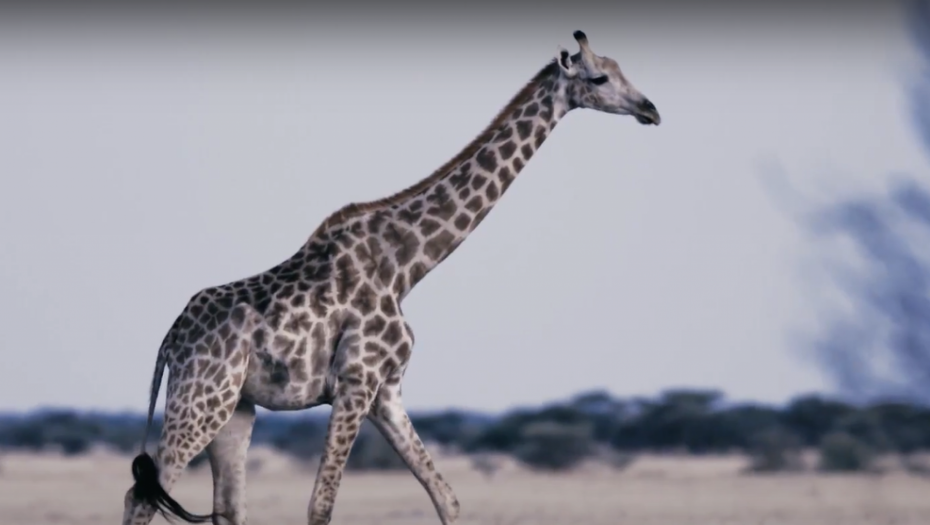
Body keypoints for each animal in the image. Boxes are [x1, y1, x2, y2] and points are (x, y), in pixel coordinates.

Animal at [123, 29, 660, 524]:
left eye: (619, 69)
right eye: (599, 77)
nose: (650, 110)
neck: (407, 266)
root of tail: (171, 339)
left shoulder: (388, 391)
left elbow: (447, 499)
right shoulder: (356, 381)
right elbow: (321, 506)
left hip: (235, 409)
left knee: (226, 507)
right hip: (201, 398)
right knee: (142, 496)